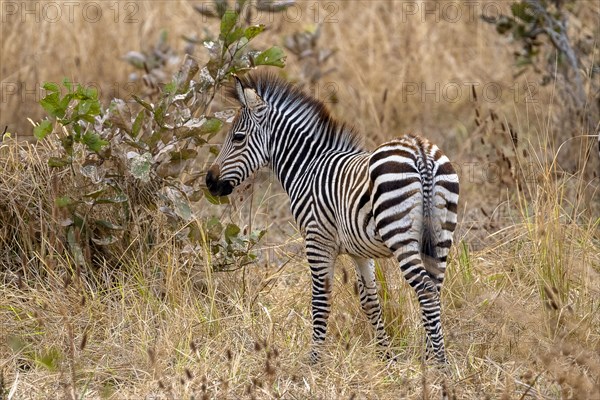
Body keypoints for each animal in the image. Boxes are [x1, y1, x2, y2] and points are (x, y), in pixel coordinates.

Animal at [206, 72, 460, 366]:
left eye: (237, 137)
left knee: (426, 290)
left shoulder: (317, 240)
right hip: (441, 234)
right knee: (435, 288)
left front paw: (314, 361)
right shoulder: (359, 251)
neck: (307, 167)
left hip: (401, 235)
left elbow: (320, 301)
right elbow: (370, 301)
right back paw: (429, 357)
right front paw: (385, 358)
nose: (209, 182)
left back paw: (439, 363)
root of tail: (420, 150)